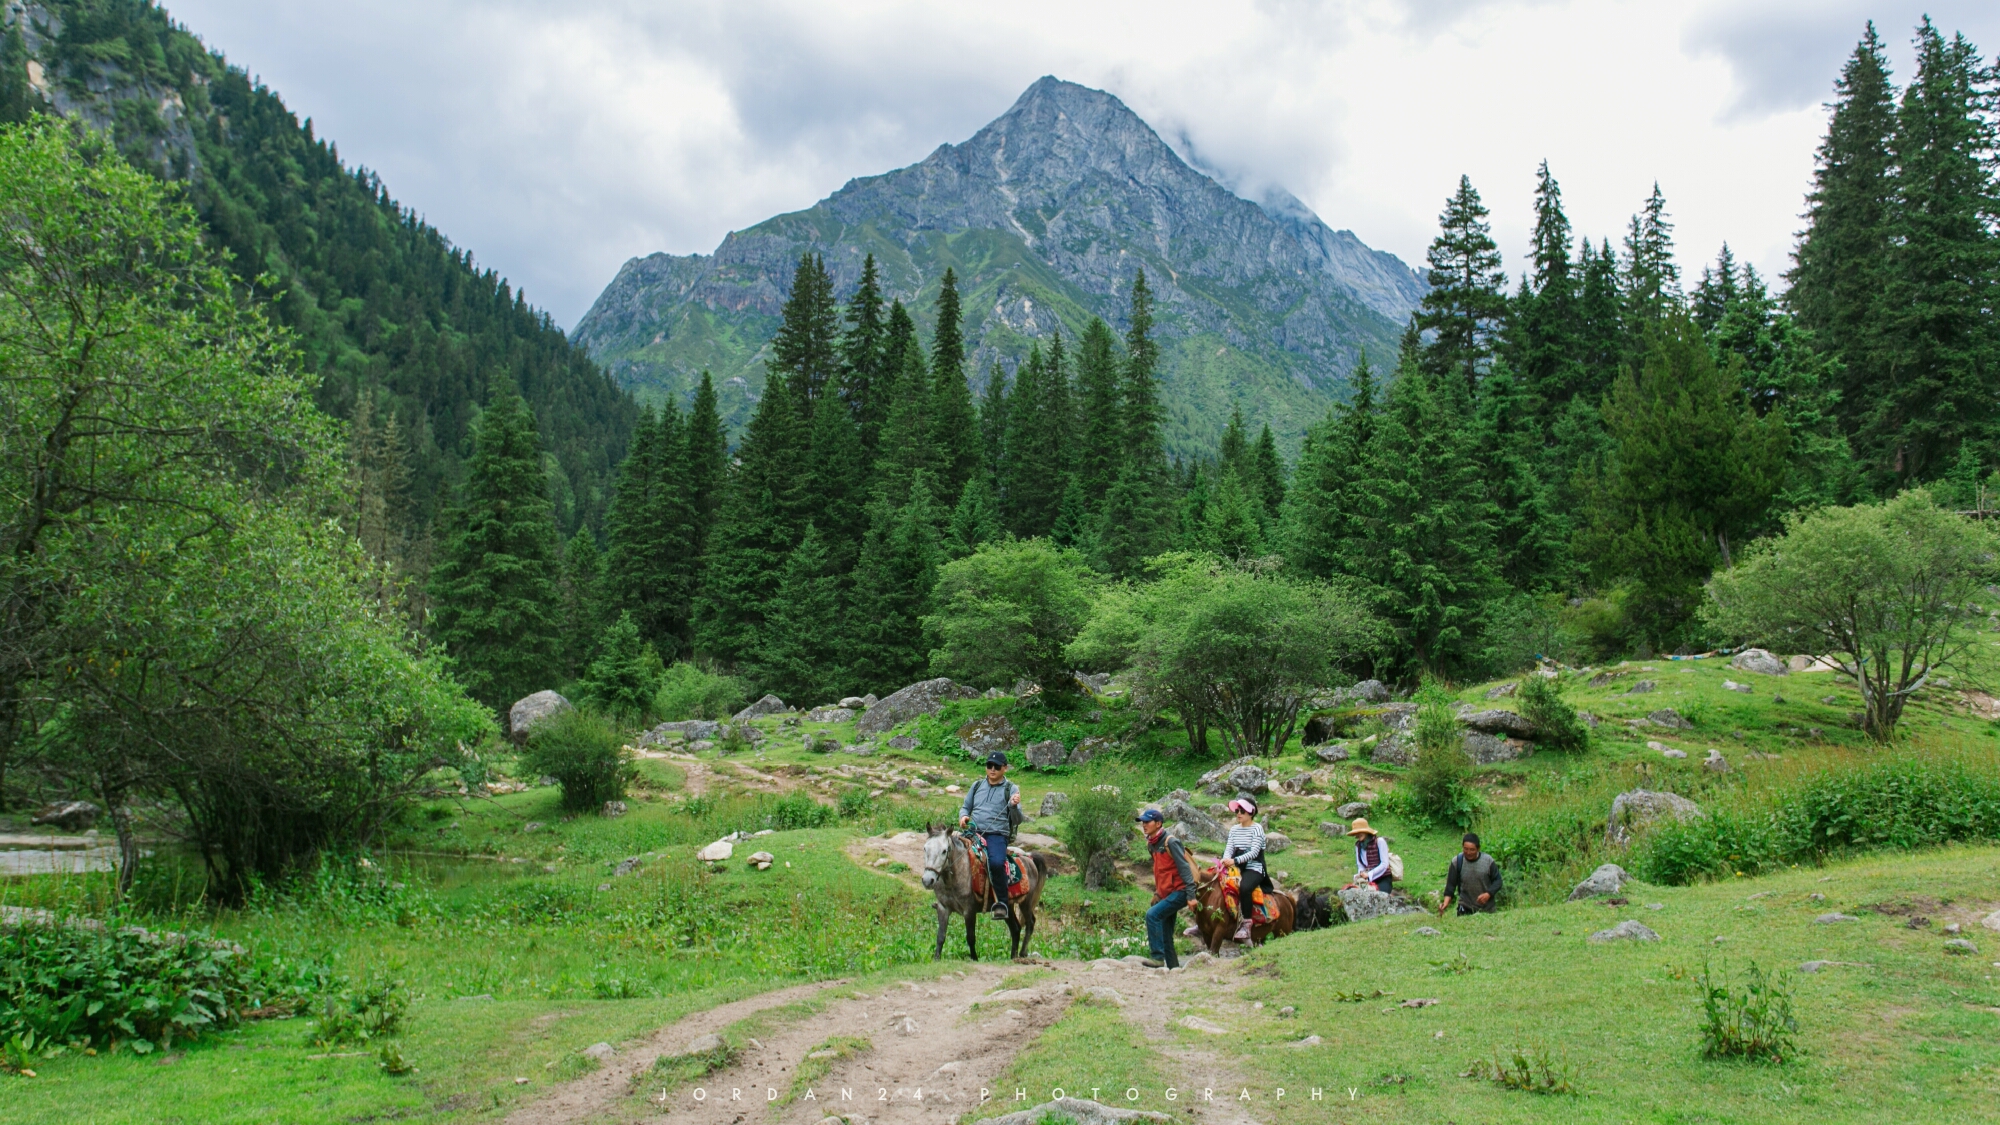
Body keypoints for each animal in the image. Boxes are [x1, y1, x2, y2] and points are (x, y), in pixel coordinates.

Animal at [916, 820, 1048, 960]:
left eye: (944, 851)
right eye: (925, 848)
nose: (927, 880)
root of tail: (1028, 857)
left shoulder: (969, 910)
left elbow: (970, 937)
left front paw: (974, 958)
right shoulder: (943, 908)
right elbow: (940, 936)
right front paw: (936, 958)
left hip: (1026, 903)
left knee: (1030, 923)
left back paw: (1022, 953)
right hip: (1009, 906)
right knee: (1016, 928)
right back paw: (1013, 956)